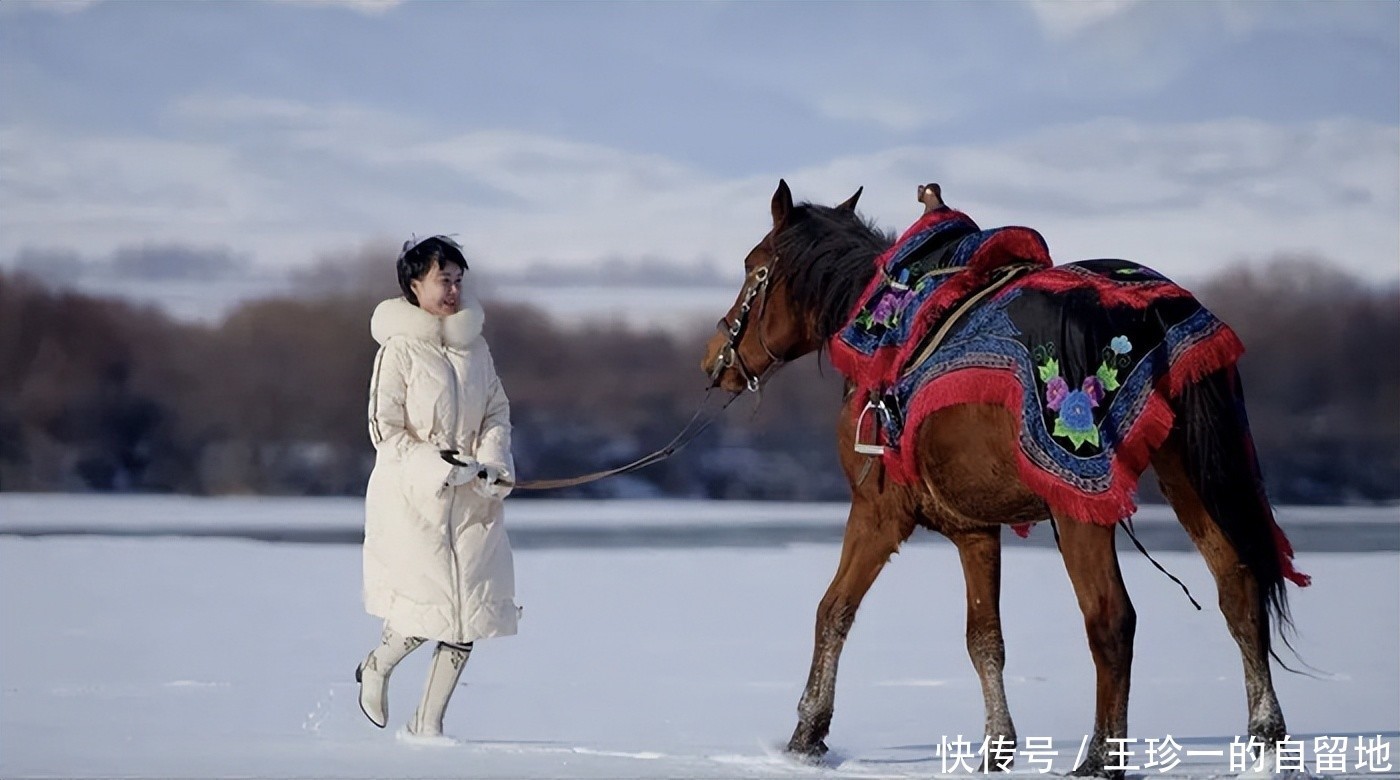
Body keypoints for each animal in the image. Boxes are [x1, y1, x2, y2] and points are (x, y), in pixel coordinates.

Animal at [699, 180, 1306, 778]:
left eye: (753, 267)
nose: (714, 360)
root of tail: (1155, 316)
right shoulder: (974, 528)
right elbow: (984, 638)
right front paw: (998, 747)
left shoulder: (878, 510)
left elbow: (833, 611)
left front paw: (807, 734)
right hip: (1190, 477)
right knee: (1239, 589)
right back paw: (1265, 738)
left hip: (1082, 504)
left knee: (1112, 620)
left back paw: (1101, 758)